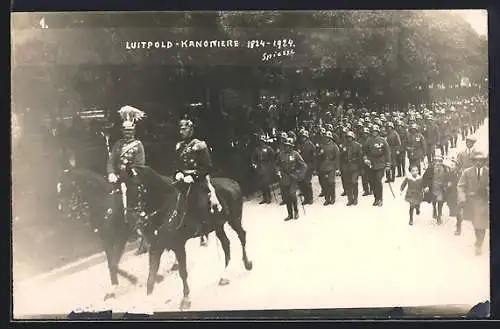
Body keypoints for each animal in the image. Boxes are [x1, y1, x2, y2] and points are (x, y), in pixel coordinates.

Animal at [55, 165, 165, 298]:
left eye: (69, 185)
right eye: (59, 188)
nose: (62, 211)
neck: (105, 206)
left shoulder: (120, 239)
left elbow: (113, 264)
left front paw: (132, 279)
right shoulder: (106, 241)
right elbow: (111, 264)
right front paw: (115, 287)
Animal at [131, 165, 252, 308]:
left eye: (136, 185)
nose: (137, 221)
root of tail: (233, 182)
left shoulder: (179, 246)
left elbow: (183, 272)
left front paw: (185, 299)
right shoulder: (155, 248)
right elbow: (151, 277)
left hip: (234, 220)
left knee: (242, 236)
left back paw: (247, 263)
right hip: (218, 226)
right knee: (226, 244)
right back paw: (224, 276)